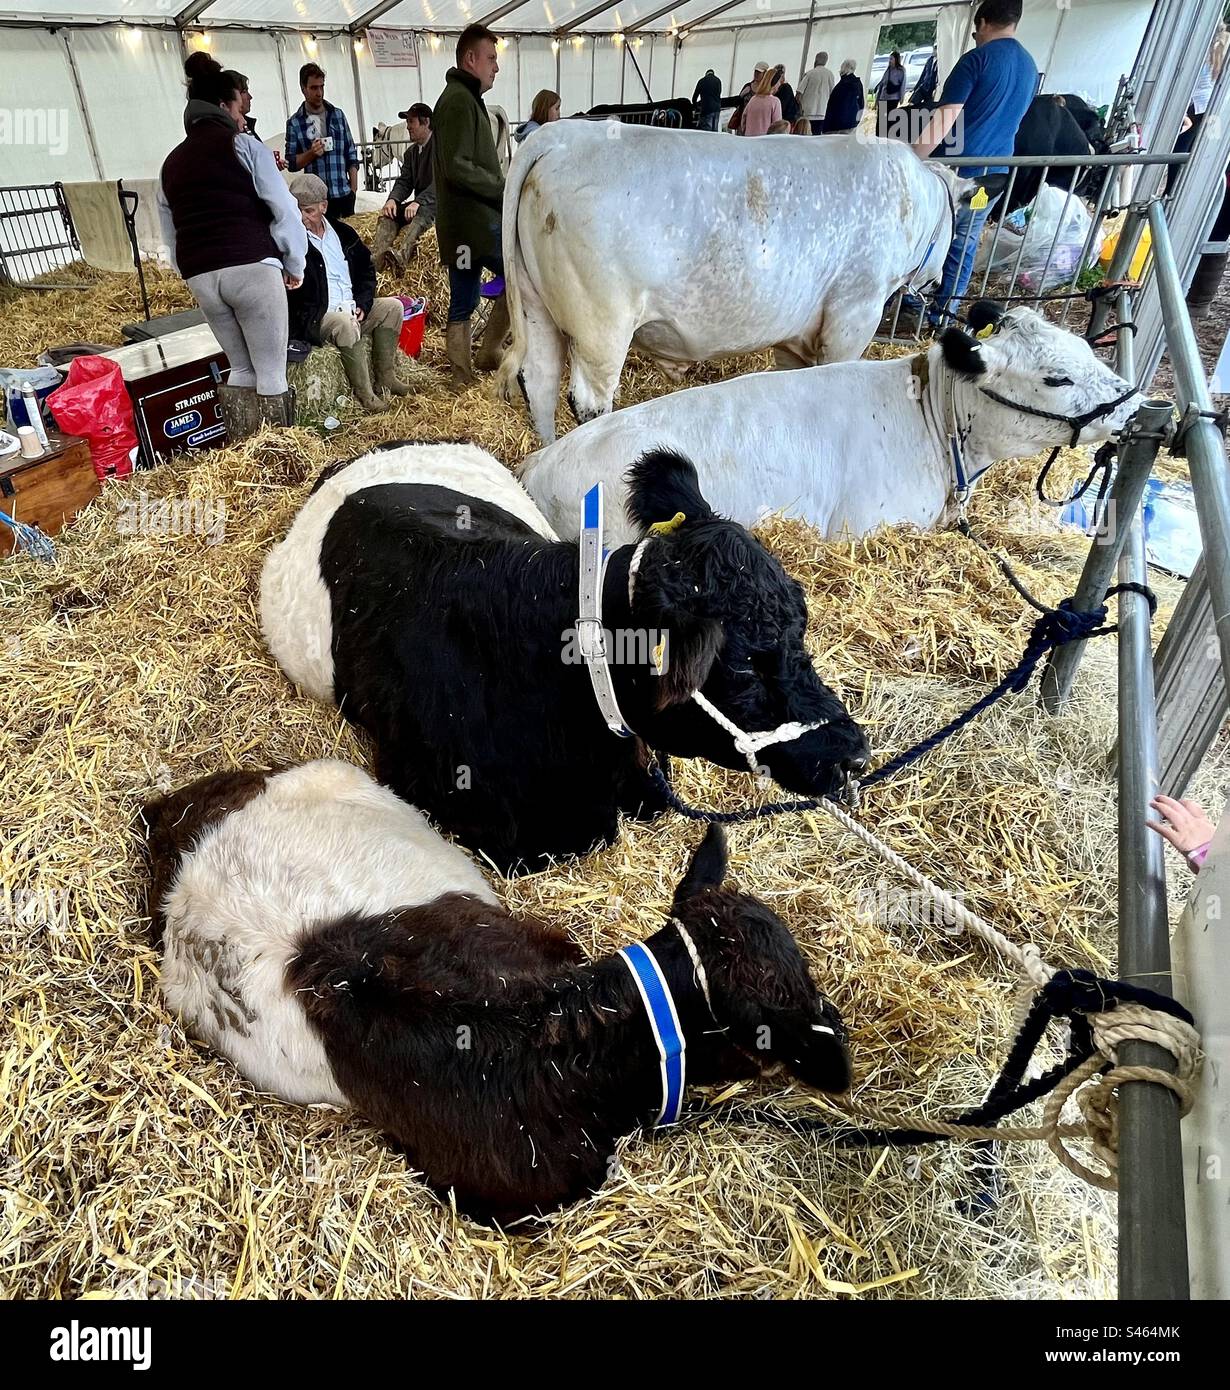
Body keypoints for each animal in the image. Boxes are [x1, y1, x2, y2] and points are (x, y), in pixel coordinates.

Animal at [496, 121, 964, 442]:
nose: (939, 281)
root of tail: (565, 133)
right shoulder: (855, 312)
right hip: (601, 324)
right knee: (588, 401)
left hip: (536, 306)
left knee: (540, 382)